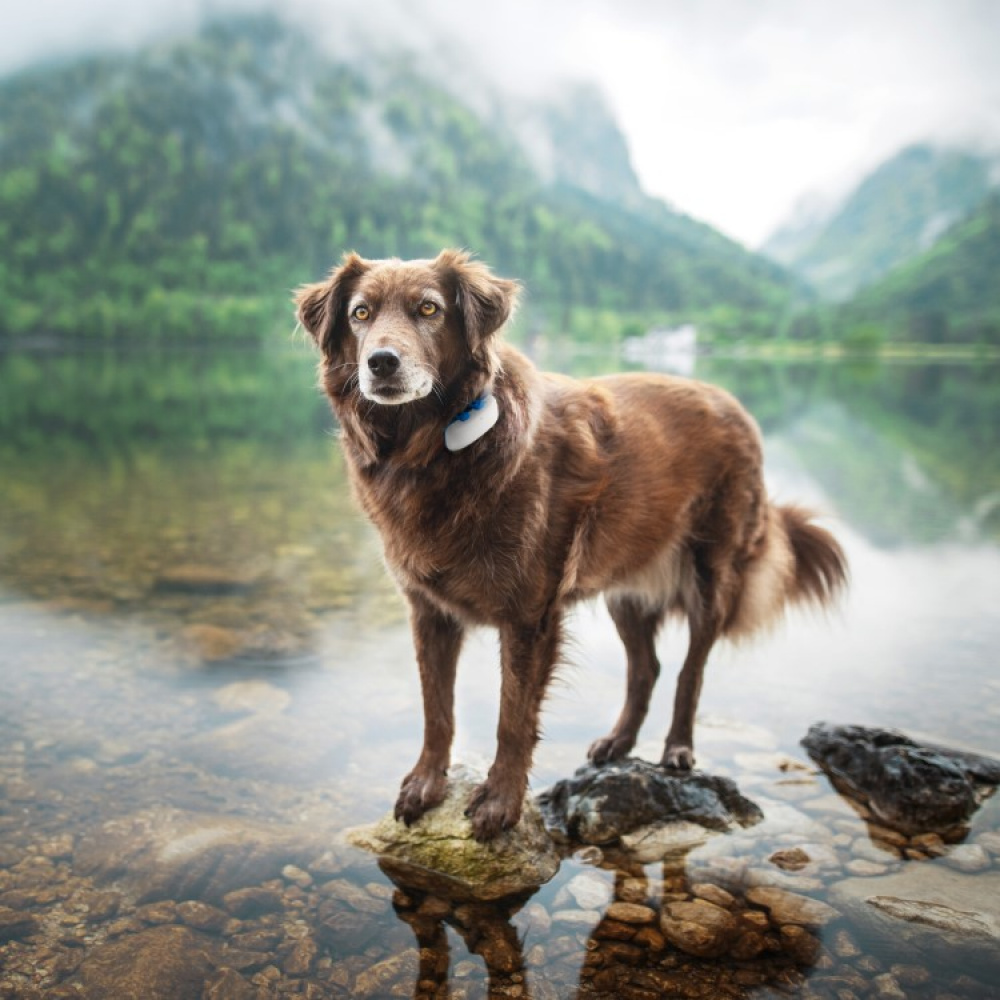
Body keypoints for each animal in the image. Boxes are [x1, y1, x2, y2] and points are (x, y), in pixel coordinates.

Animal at [296, 248, 844, 836]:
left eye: (428, 309)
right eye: (360, 313)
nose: (381, 363)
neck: (433, 448)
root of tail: (733, 403)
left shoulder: (529, 616)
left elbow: (513, 716)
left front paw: (500, 802)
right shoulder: (429, 611)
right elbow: (436, 708)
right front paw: (425, 783)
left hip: (710, 577)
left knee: (689, 671)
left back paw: (676, 749)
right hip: (626, 586)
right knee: (645, 668)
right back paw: (618, 742)